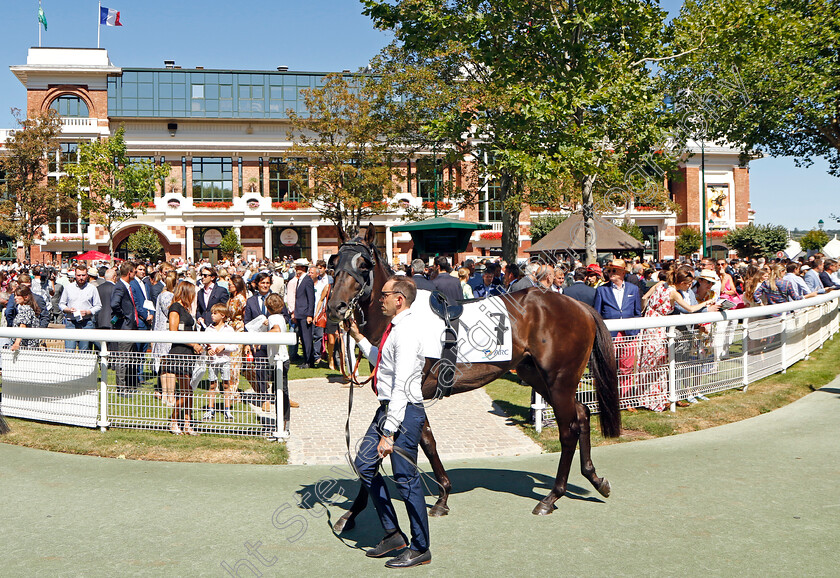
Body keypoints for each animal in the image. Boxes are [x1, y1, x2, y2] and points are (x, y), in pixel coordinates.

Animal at [324, 226, 620, 528]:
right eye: (334, 263)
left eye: (363, 264)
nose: (336, 307)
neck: (401, 318)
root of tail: (578, 306)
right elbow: (423, 441)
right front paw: (441, 496)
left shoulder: (406, 392)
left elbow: (398, 444)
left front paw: (354, 512)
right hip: (536, 375)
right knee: (582, 413)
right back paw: (595, 478)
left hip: (559, 379)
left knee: (568, 430)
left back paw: (551, 497)